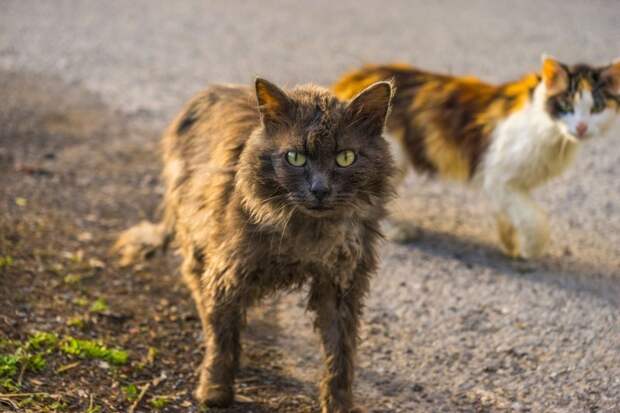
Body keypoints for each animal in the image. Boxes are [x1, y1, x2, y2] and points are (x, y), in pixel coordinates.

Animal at [114, 76, 394, 408]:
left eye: (346, 158)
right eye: (295, 158)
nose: (320, 190)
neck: (308, 232)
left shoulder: (341, 283)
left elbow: (340, 354)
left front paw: (338, 404)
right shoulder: (229, 270)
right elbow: (221, 336)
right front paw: (215, 391)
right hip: (198, 226)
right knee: (197, 284)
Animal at [334, 56, 620, 260]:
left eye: (596, 109)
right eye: (566, 107)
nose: (581, 127)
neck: (552, 133)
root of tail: (351, 79)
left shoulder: (508, 184)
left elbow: (511, 213)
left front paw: (509, 243)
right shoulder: (498, 176)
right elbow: (534, 219)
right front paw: (530, 249)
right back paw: (394, 230)